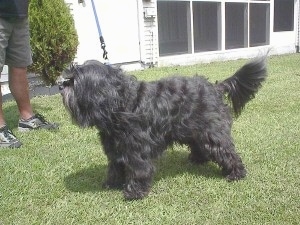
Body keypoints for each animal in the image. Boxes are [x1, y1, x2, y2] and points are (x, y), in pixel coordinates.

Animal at [58, 58, 268, 200]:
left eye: (74, 81)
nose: (60, 85)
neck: (121, 103)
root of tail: (215, 88)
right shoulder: (115, 147)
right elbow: (115, 167)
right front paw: (111, 183)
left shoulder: (137, 149)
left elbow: (138, 169)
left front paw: (134, 192)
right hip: (195, 130)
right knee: (200, 145)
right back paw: (197, 160)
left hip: (211, 132)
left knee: (225, 150)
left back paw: (236, 173)